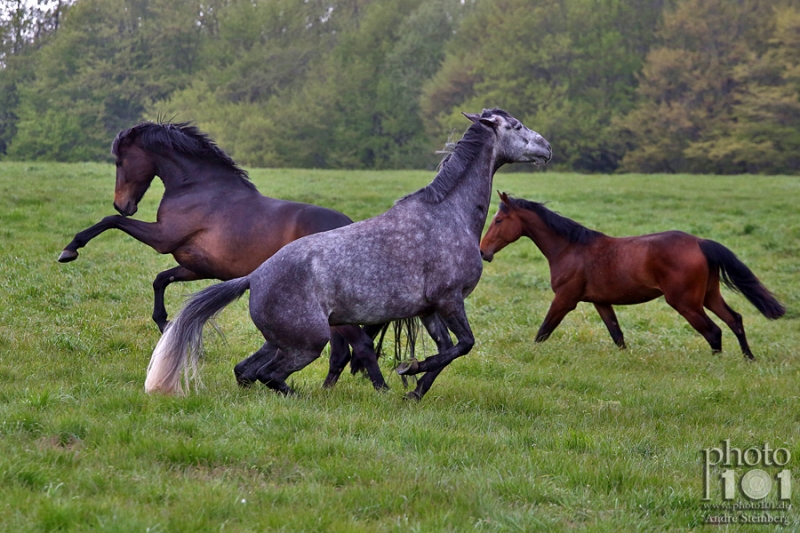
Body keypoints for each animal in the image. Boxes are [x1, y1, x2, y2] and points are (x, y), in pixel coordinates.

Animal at [56, 122, 416, 388]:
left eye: (120, 161)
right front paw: (164, 323)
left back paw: (380, 391)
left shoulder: (162, 238)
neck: (198, 186)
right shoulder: (196, 265)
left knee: (359, 345)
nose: (123, 203)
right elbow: (160, 280)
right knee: (342, 350)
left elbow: (109, 222)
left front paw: (70, 249)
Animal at [144, 109, 552, 400]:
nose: (547, 148)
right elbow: (463, 346)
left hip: (281, 341)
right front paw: (408, 371)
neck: (448, 215)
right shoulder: (450, 300)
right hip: (308, 343)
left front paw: (415, 390)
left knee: (245, 371)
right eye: (517, 126)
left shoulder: (429, 309)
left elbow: (448, 350)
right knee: (267, 375)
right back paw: (307, 397)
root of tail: (254, 276)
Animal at [478, 191, 784, 358]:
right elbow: (617, 336)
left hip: (685, 302)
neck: (570, 247)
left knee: (714, 331)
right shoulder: (601, 302)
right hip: (709, 296)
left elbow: (543, 331)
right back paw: (748, 359)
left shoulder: (565, 299)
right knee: (735, 320)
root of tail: (700, 242)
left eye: (499, 220)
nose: (483, 252)